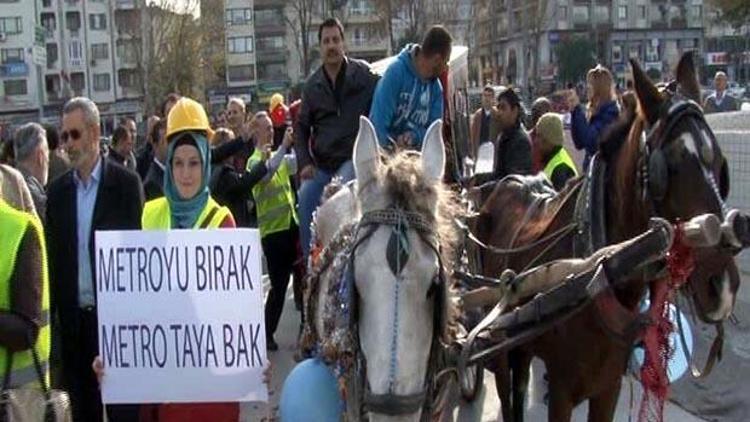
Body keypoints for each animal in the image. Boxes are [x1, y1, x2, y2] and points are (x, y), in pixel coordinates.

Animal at [476, 53, 748, 422]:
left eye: (721, 165)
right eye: (669, 166)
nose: (724, 287)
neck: (599, 269)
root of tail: (504, 184)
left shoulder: (608, 387)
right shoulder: (562, 389)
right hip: (499, 340)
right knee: (507, 396)